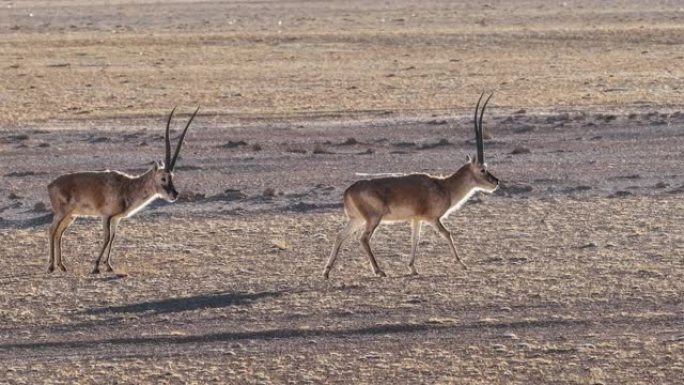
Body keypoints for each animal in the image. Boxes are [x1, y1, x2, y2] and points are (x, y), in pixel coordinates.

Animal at [46, 105, 198, 272]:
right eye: (163, 178)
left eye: (172, 176)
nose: (174, 194)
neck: (127, 186)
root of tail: (51, 185)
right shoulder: (106, 216)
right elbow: (106, 238)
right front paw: (96, 266)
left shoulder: (116, 218)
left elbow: (113, 238)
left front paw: (109, 265)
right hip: (62, 212)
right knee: (52, 230)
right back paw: (51, 266)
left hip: (71, 216)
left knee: (59, 233)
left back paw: (62, 266)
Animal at [324, 93, 500, 280]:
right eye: (483, 169)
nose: (496, 182)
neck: (444, 186)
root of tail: (348, 191)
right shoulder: (432, 218)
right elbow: (447, 233)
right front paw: (462, 264)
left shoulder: (417, 219)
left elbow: (415, 238)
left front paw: (413, 268)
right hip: (373, 218)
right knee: (363, 239)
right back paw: (379, 271)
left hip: (356, 219)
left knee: (340, 235)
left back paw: (326, 272)